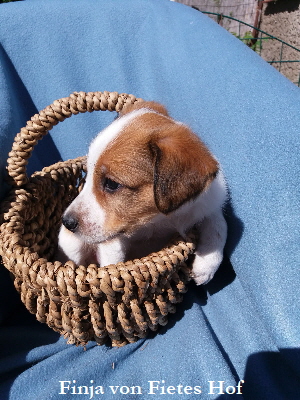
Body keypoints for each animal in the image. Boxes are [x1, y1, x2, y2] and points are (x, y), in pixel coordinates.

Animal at [57, 101, 227, 286]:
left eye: (111, 184)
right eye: (87, 175)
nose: (66, 222)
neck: (156, 221)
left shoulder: (208, 203)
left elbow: (219, 226)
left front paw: (206, 265)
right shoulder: (113, 239)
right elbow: (112, 261)